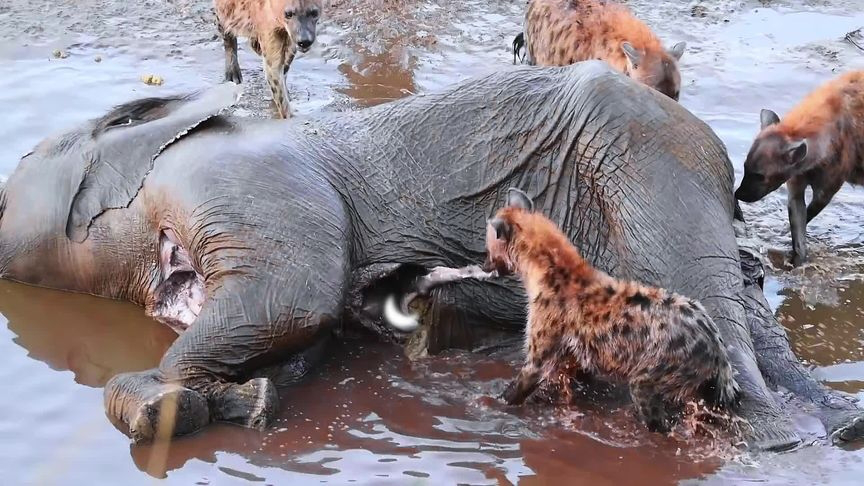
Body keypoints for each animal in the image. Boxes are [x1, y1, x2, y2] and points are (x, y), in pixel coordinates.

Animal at [1, 62, 862, 451]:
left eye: (8, 196)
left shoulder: (236, 177)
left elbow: (297, 293)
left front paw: (160, 399)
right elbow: (302, 333)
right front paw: (247, 403)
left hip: (647, 165)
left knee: (713, 310)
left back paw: (771, 441)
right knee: (746, 313)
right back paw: (836, 426)